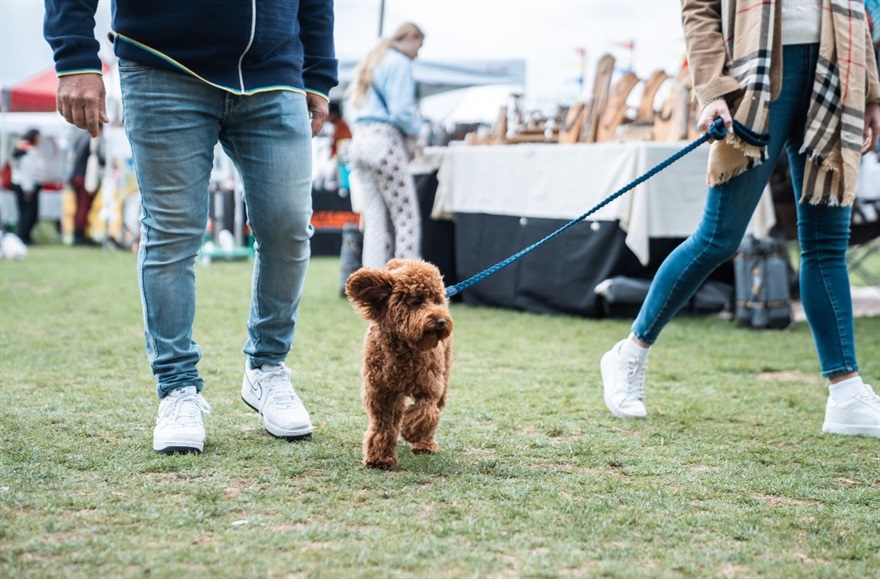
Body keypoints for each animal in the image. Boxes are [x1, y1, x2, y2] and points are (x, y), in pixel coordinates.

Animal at [344, 260, 454, 468]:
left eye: (436, 300)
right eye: (417, 301)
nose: (441, 320)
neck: (404, 348)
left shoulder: (430, 385)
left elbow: (426, 411)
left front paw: (410, 430)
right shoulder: (380, 393)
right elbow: (383, 425)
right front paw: (379, 458)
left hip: (444, 373)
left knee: (436, 409)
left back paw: (425, 444)